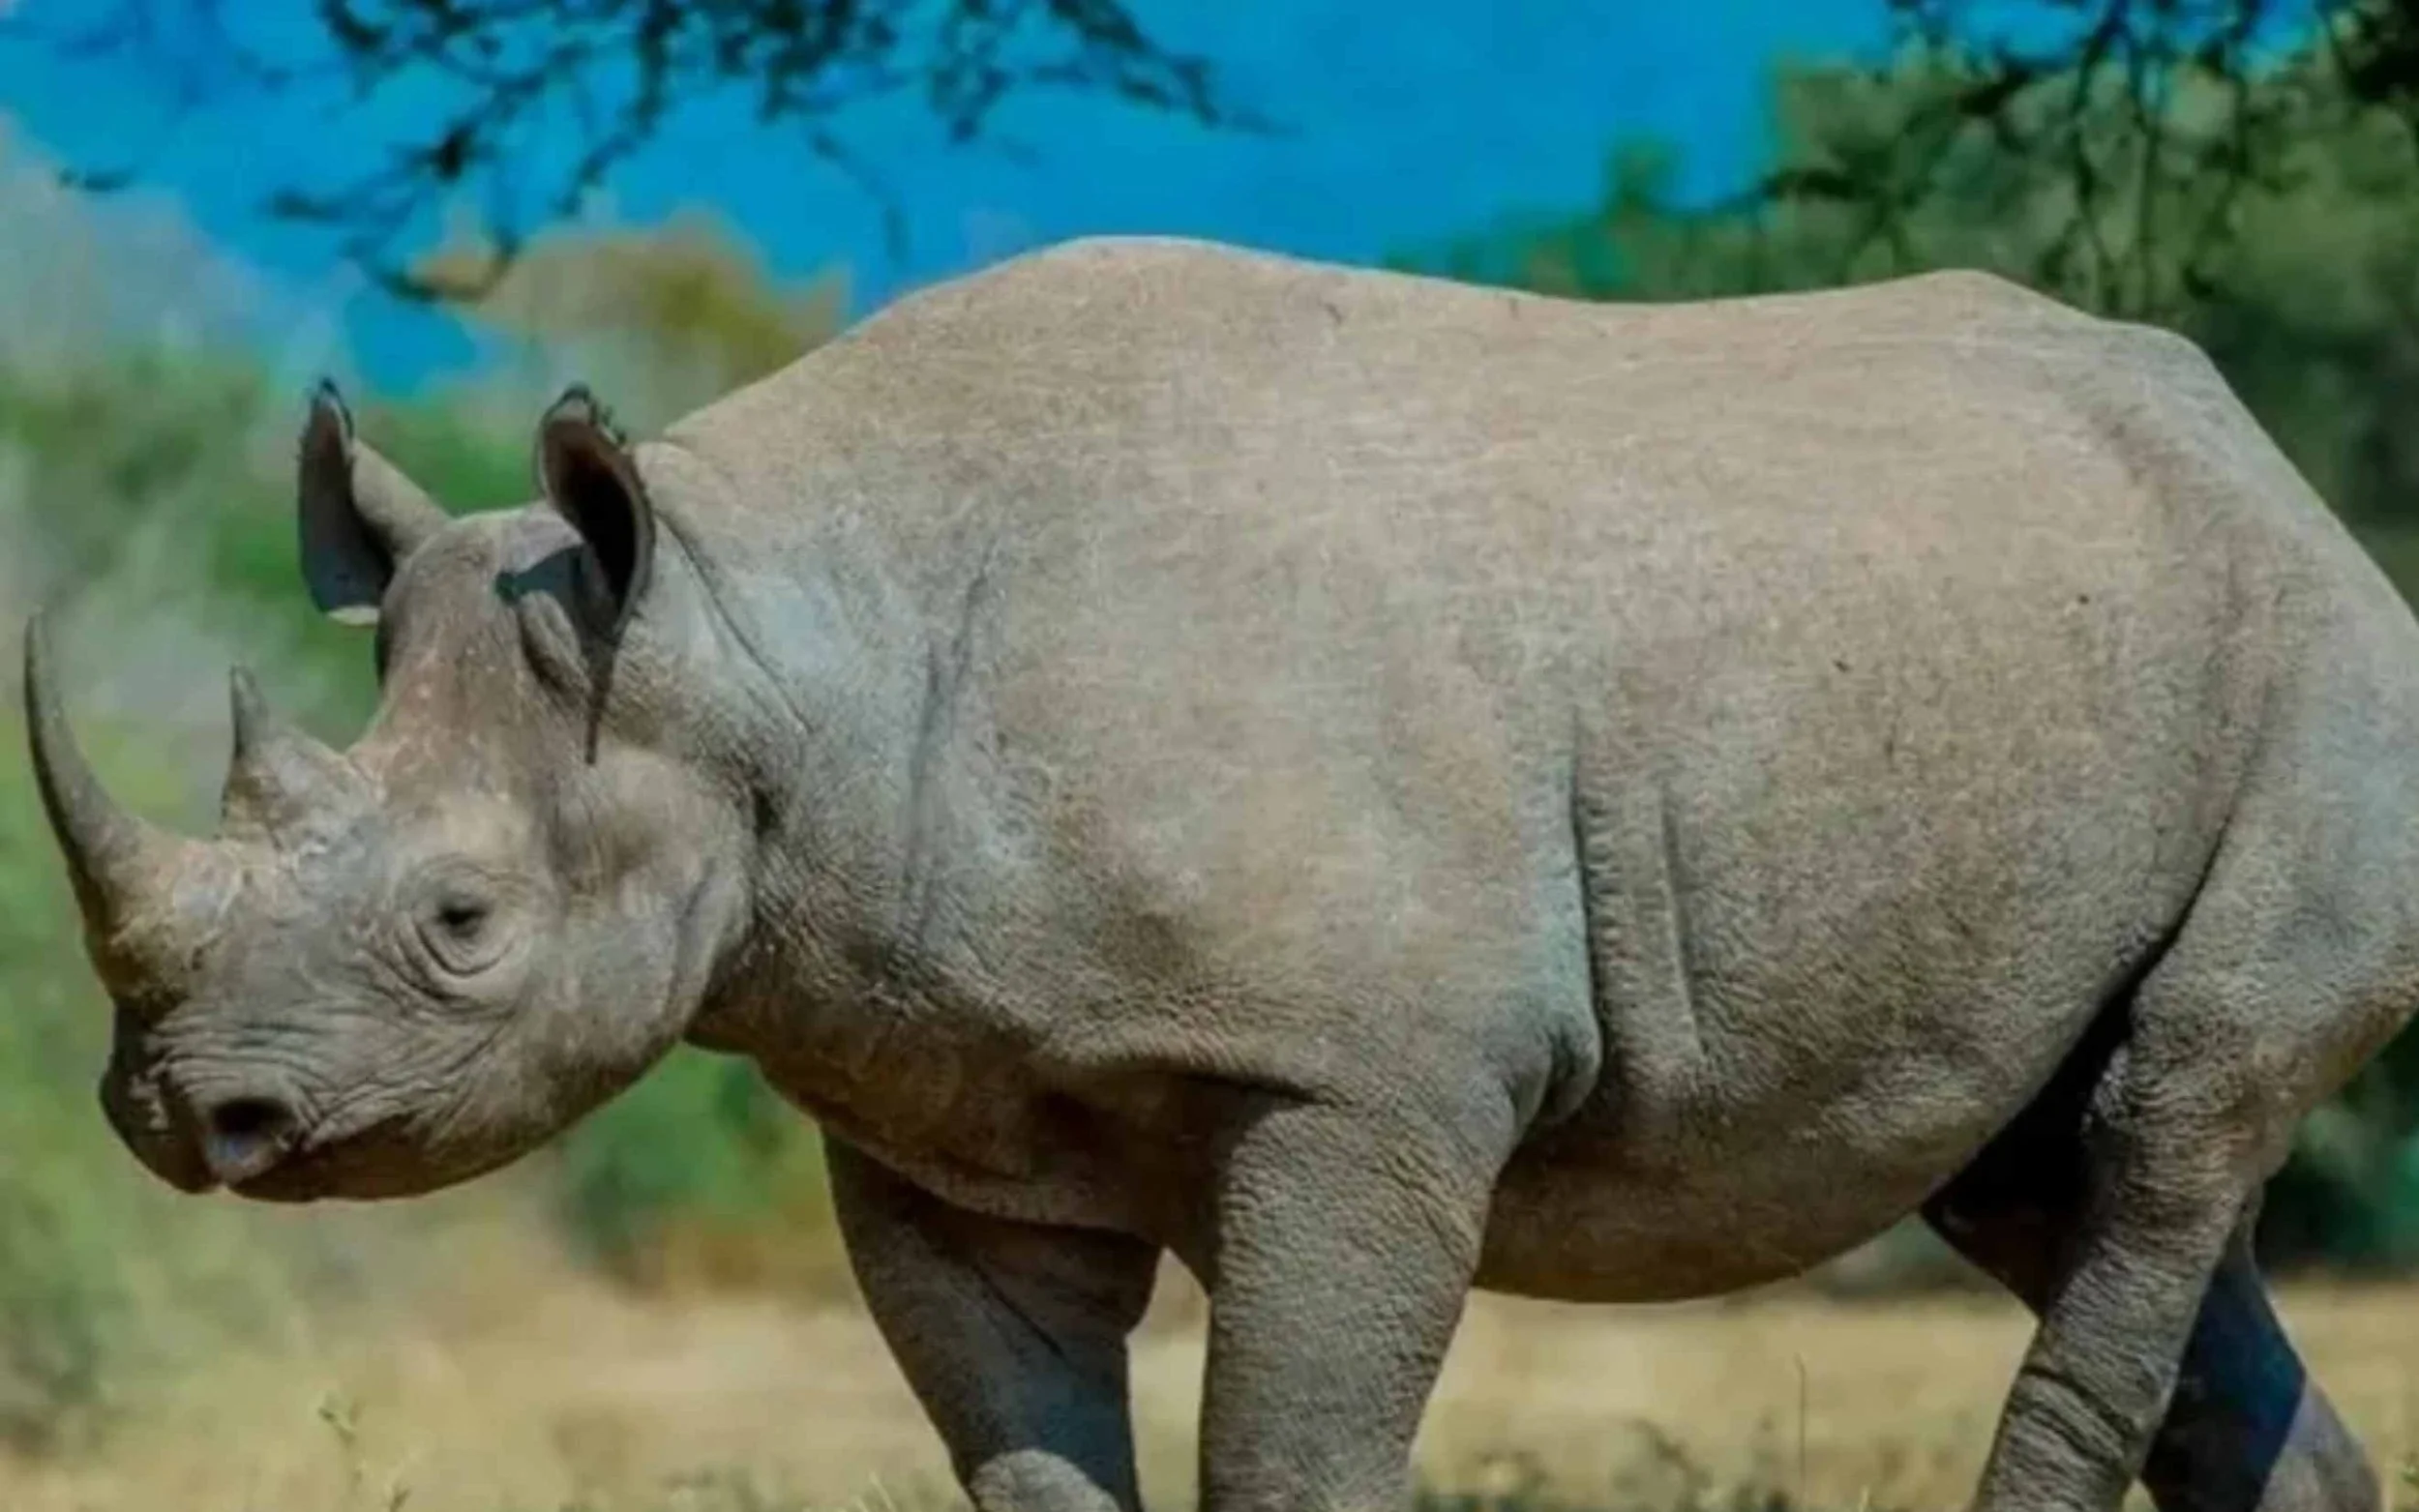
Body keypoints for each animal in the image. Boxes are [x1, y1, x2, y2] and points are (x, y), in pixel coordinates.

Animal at [23, 236, 2419, 1512]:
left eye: (459, 927)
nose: (179, 1114)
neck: (763, 638)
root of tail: (2270, 461)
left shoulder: (1363, 1085)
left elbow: (1288, 1457)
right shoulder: (938, 1113)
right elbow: (1025, 1462)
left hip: (2322, 668)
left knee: (2166, 1118)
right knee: (2041, 1162)